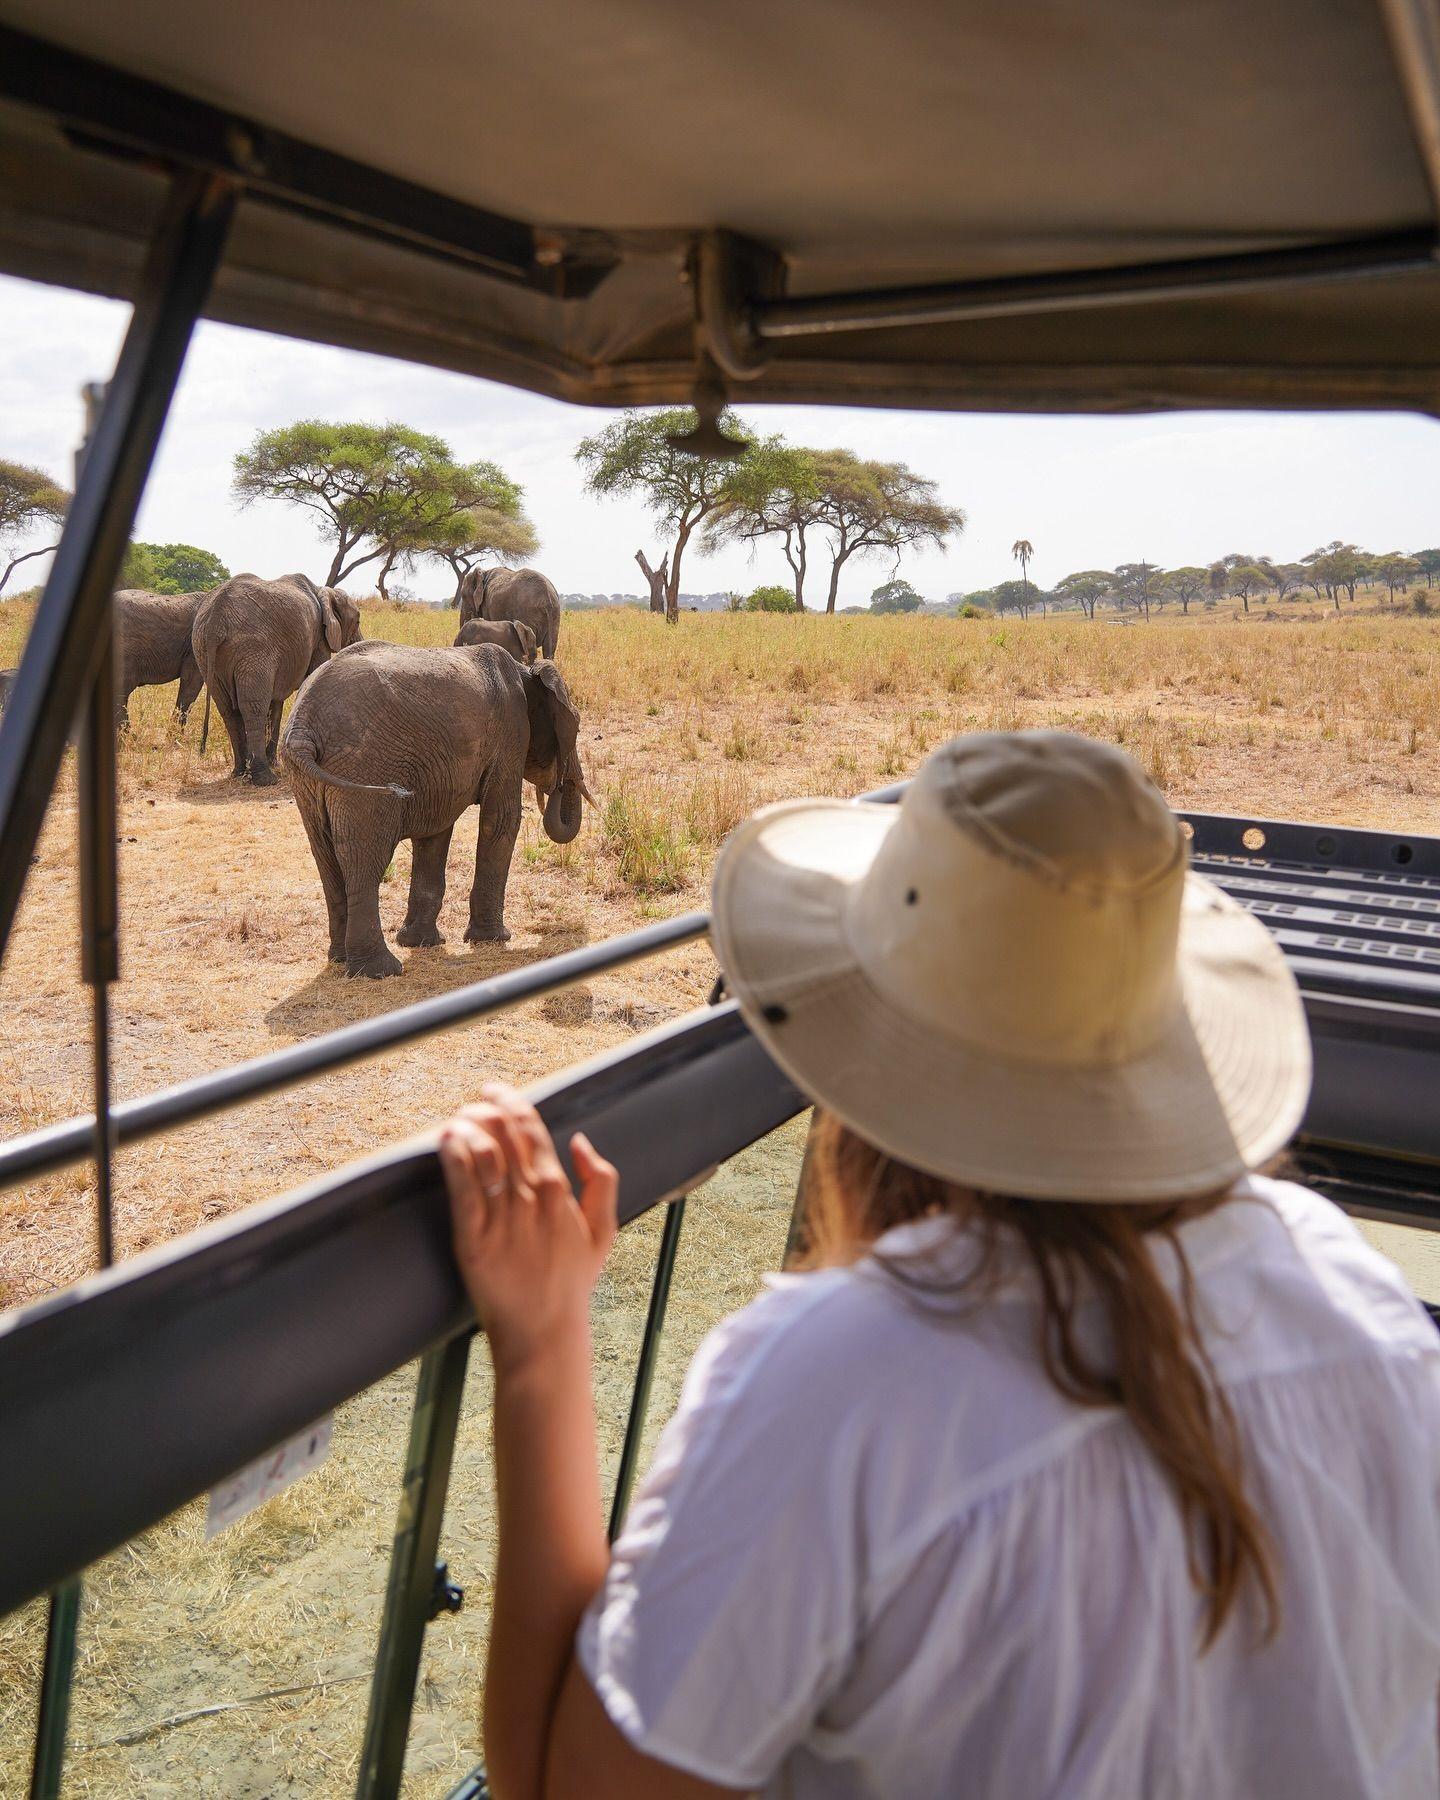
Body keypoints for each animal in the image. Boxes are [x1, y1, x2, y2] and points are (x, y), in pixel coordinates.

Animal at [192, 568, 363, 781]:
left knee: (228, 710)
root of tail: (216, 617)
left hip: (204, 653)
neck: (322, 590)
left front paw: (274, 762)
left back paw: (240, 773)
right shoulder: (318, 639)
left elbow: (276, 701)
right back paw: (265, 778)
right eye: (358, 620)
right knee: (254, 708)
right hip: (252, 650)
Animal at [280, 640, 590, 979]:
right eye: (575, 728)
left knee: (326, 857)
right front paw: (494, 939)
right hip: (363, 767)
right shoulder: (511, 733)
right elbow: (501, 821)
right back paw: (380, 971)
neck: (527, 670)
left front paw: (421, 943)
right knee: (366, 857)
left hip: (307, 781)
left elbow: (434, 833)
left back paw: (340, 959)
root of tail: (303, 728)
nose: (558, 784)